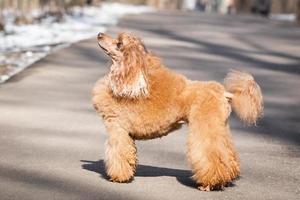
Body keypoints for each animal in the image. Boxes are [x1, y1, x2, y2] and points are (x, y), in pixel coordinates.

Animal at [91, 32, 262, 191]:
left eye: (119, 44)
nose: (99, 34)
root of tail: (224, 93)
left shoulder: (117, 129)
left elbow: (117, 153)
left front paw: (118, 177)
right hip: (220, 128)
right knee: (227, 154)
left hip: (205, 126)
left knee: (211, 155)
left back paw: (209, 184)